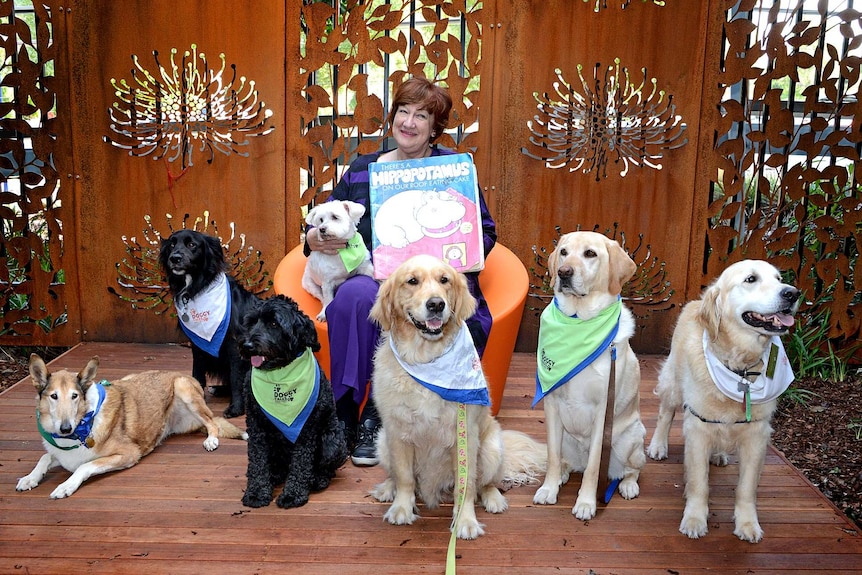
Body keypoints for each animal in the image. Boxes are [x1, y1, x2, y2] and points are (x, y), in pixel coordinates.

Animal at [16, 354, 248, 498]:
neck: (83, 426)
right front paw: (29, 478)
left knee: (212, 422)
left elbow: (84, 466)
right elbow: (45, 457)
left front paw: (66, 486)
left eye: (74, 396)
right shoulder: (61, 453)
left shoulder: (128, 454)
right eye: (54, 396)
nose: (65, 428)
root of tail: (178, 373)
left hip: (183, 388)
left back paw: (211, 439)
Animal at [159, 228, 258, 418]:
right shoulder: (197, 343)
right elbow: (197, 373)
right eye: (172, 244)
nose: (175, 258)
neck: (196, 287)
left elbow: (236, 378)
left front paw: (235, 408)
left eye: (192, 244)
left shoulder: (234, 344)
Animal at [236, 296, 348, 508]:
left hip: (333, 440)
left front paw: (293, 494)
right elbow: (257, 461)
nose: (247, 345)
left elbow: (301, 463)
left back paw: (317, 479)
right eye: (252, 322)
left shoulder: (306, 430)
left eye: (274, 323)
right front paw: (257, 492)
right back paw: (275, 475)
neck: (280, 374)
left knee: (326, 467)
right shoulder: (256, 426)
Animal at [532, 231, 648, 520]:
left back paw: (628, 485)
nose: (563, 272)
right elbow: (552, 456)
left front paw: (586, 503)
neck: (579, 322)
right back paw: (563, 473)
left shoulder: (602, 412)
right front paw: (549, 489)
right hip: (567, 440)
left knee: (631, 468)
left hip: (631, 439)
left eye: (590, 254)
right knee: (566, 460)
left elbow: (596, 466)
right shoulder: (552, 405)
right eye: (563, 252)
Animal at [652, 260, 800, 544]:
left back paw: (718, 454)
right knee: (665, 413)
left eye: (779, 279)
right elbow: (699, 482)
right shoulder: (698, 429)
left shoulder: (756, 434)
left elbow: (746, 488)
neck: (740, 370)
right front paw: (695, 519)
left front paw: (747, 524)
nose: (792, 293)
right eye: (751, 279)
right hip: (673, 383)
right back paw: (657, 445)